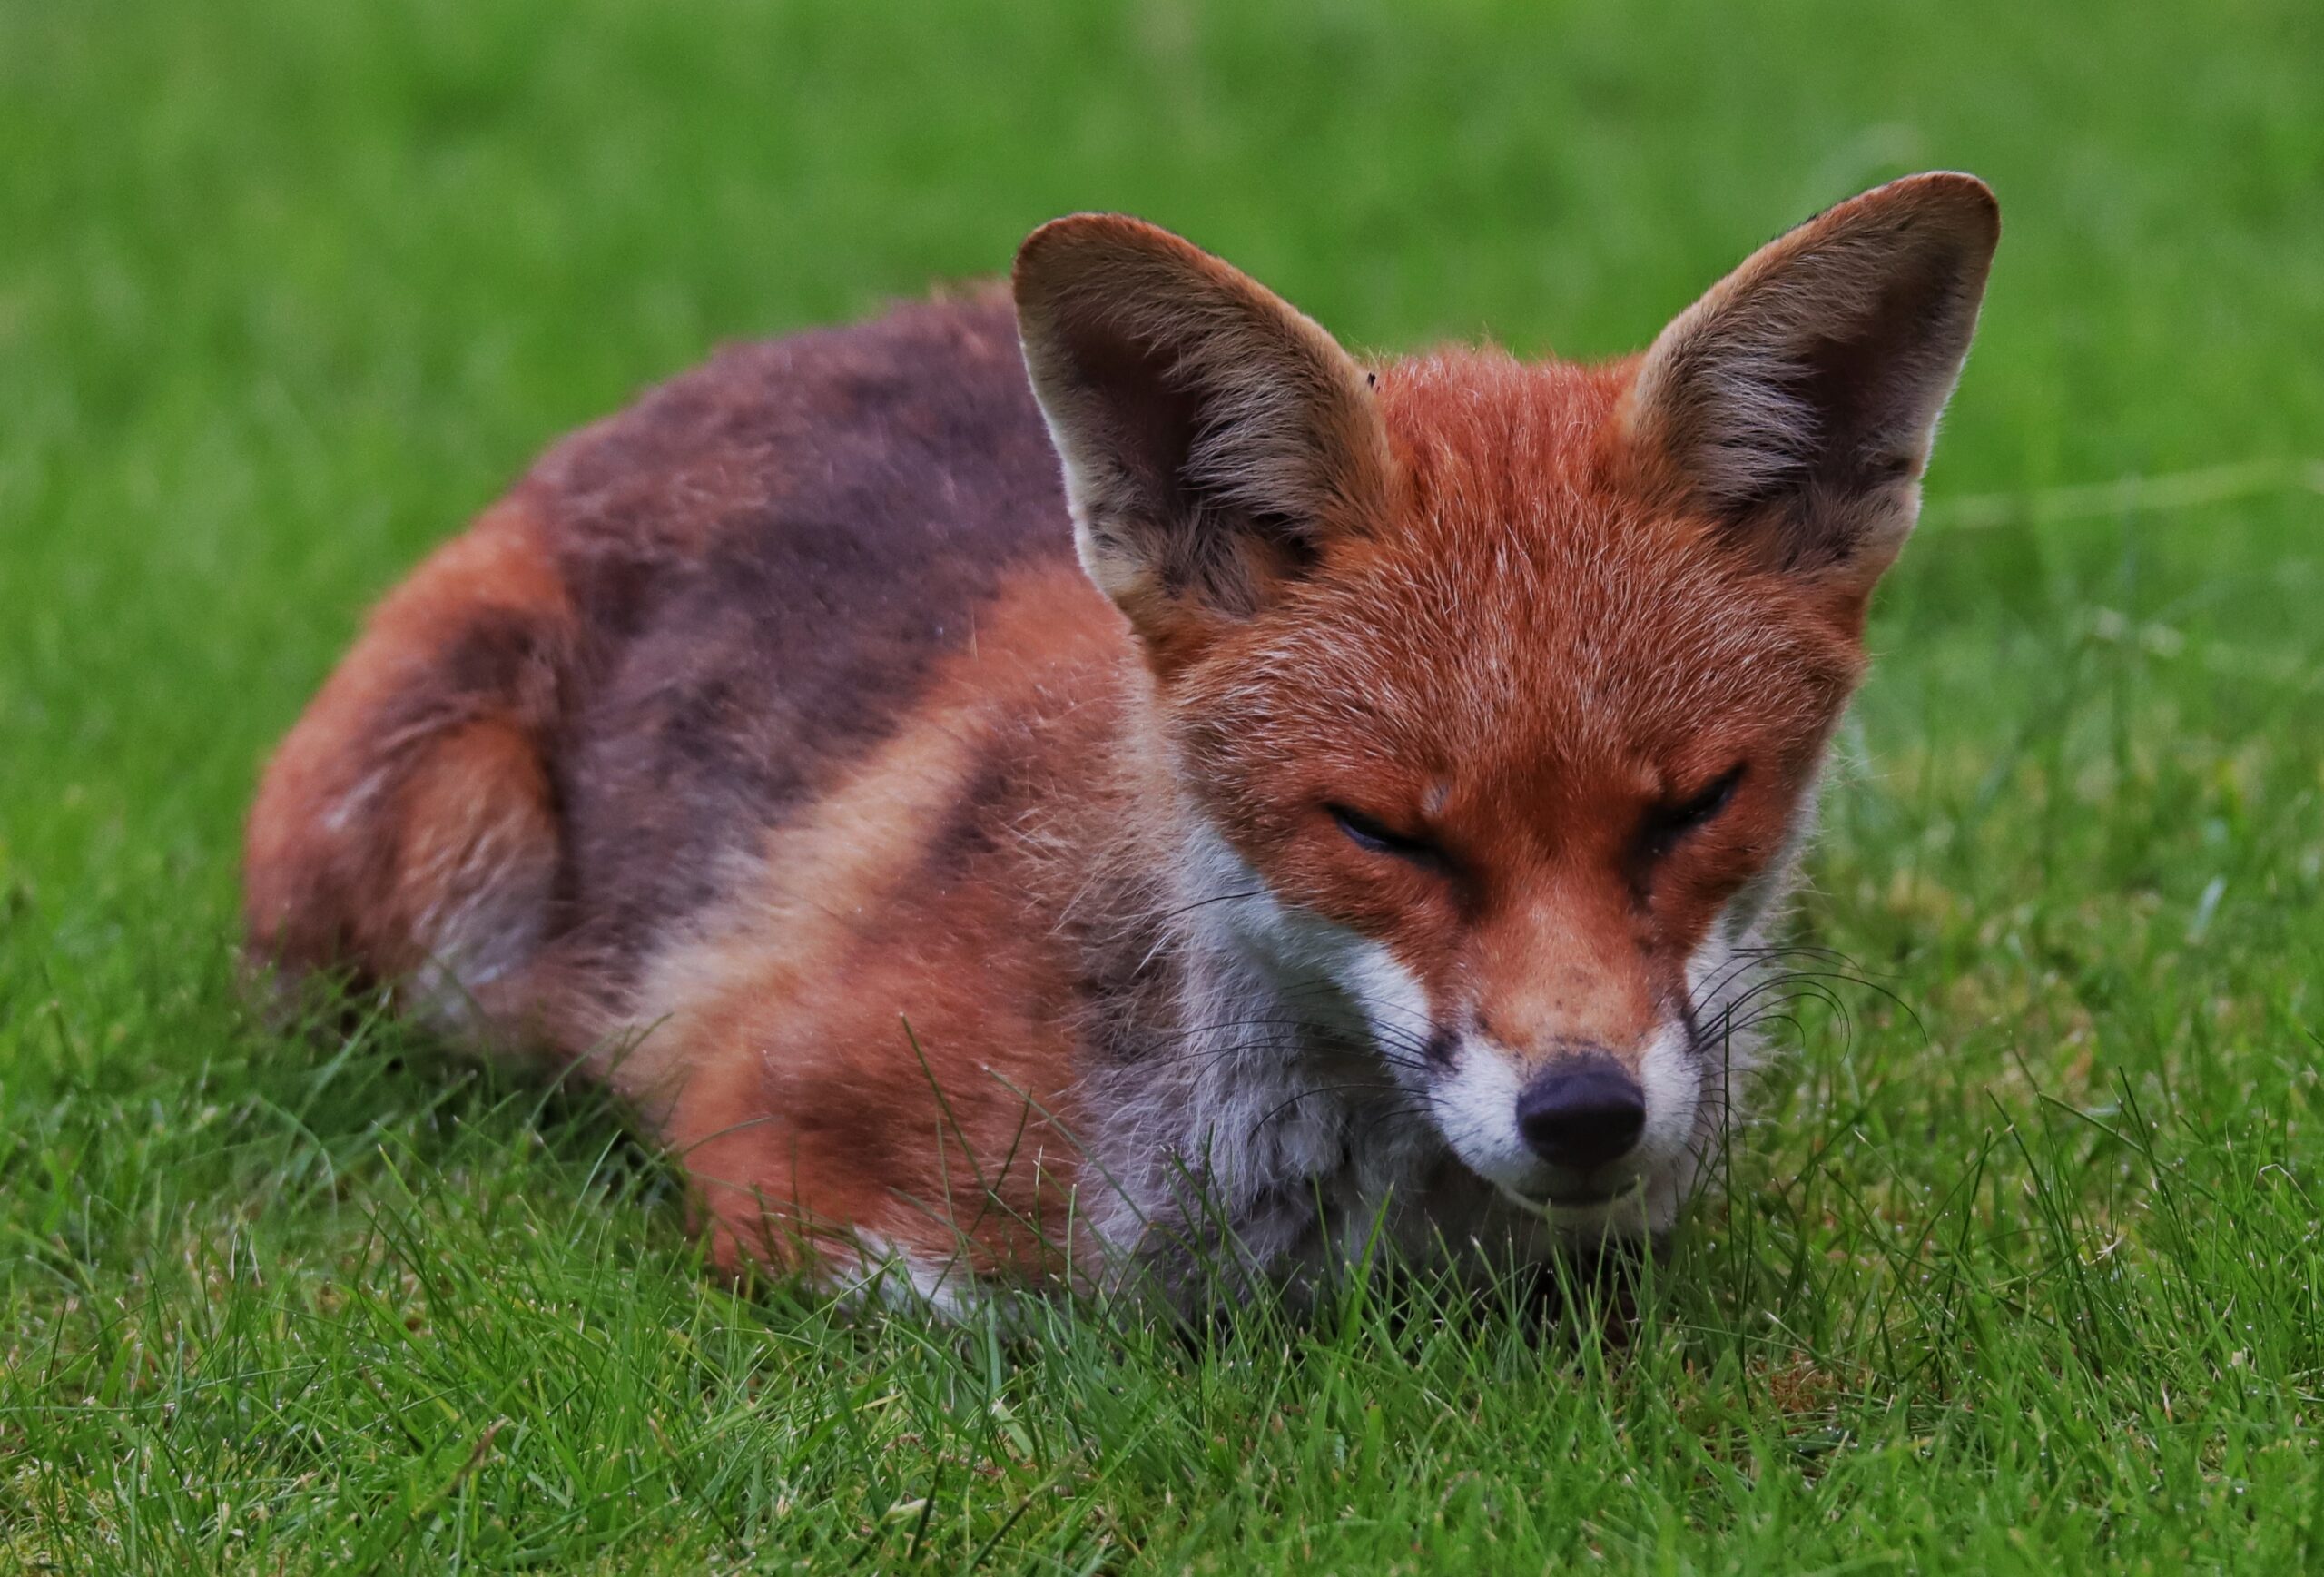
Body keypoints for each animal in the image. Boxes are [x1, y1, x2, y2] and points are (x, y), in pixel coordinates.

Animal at [245, 173, 1998, 1309]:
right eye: (1383, 831)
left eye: (1694, 806)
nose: (1585, 1113)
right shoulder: (769, 1150)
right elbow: (1042, 1329)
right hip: (451, 866)